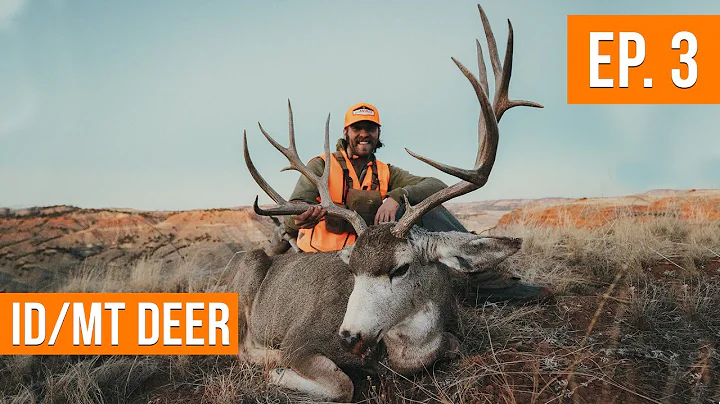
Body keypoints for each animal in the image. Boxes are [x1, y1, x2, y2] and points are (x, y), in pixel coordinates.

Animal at [234, 4, 542, 402]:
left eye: (401, 268)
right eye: (352, 270)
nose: (348, 336)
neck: (402, 351)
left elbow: (456, 347)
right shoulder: (299, 342)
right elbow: (342, 385)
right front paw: (276, 370)